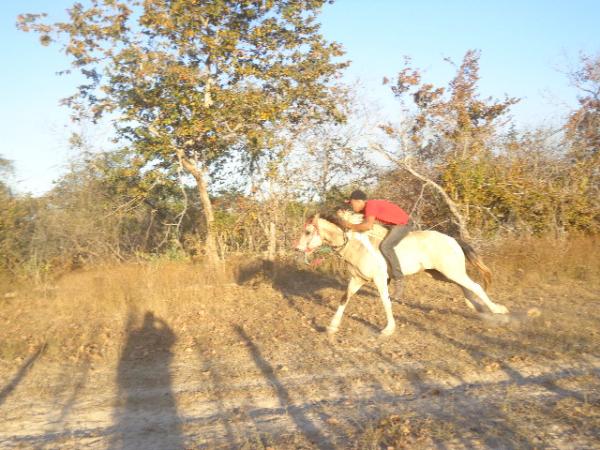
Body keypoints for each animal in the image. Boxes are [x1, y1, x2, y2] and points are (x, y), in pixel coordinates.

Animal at [294, 213, 506, 336]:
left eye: (308, 231)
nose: (297, 249)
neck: (357, 246)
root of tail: (453, 239)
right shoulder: (357, 280)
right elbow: (343, 300)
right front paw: (331, 327)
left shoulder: (380, 279)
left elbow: (386, 302)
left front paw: (388, 329)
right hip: (441, 273)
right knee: (466, 288)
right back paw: (478, 308)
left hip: (451, 271)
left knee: (475, 286)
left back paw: (498, 311)